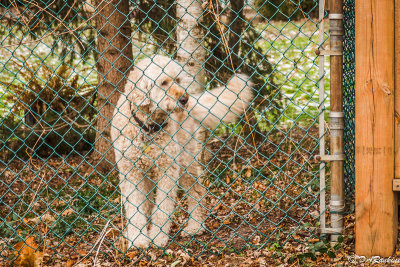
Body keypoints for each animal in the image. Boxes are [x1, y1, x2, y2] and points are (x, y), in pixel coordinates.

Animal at [111, 55, 252, 249]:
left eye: (177, 80)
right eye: (163, 82)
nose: (184, 99)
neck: (148, 127)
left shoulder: (168, 170)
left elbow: (163, 208)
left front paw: (158, 238)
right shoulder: (131, 173)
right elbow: (135, 208)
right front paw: (138, 239)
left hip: (186, 162)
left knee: (197, 192)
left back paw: (195, 226)